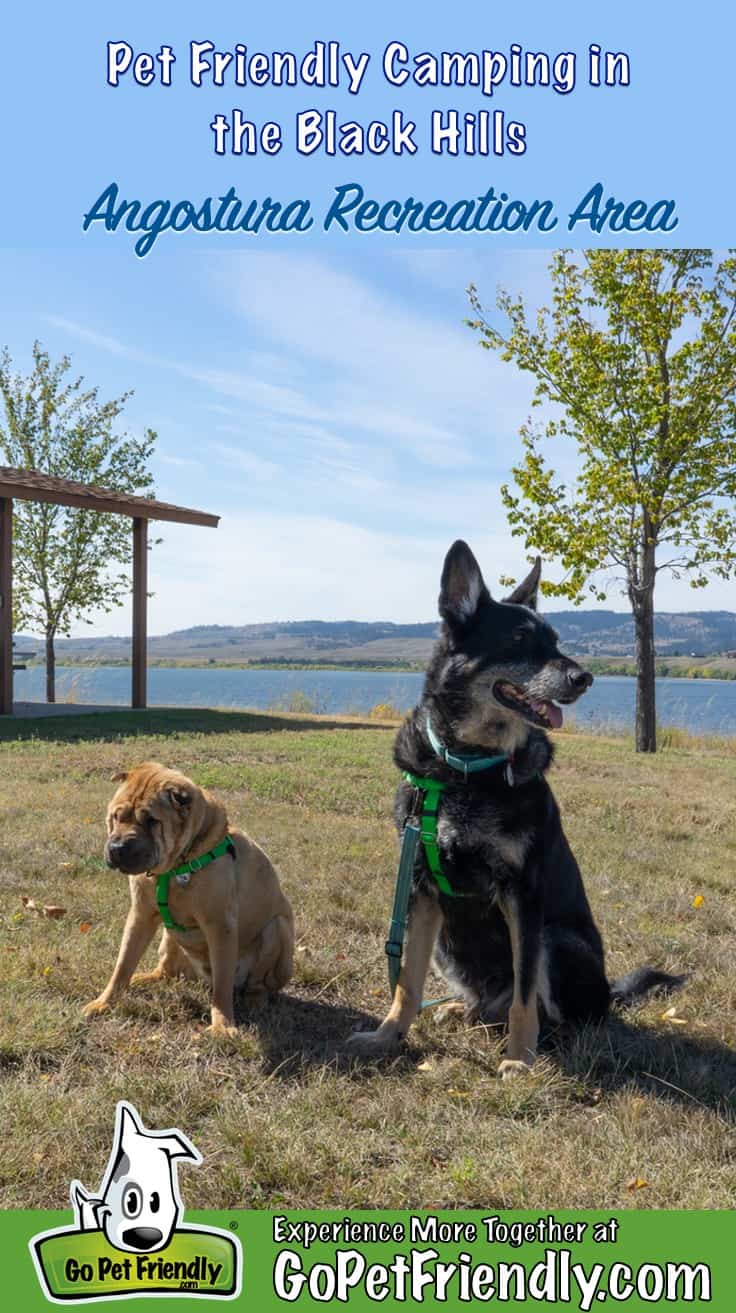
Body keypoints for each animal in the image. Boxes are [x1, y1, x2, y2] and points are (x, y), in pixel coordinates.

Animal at [83, 761, 292, 1034]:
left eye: (152, 821)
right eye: (117, 816)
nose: (117, 848)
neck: (173, 868)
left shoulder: (220, 925)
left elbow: (222, 985)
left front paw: (222, 1026)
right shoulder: (141, 915)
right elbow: (123, 963)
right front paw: (104, 1002)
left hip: (278, 930)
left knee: (258, 981)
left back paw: (254, 997)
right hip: (168, 938)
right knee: (167, 969)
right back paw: (146, 977)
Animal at [346, 538, 682, 1071]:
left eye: (555, 640)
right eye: (521, 639)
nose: (585, 677)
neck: (467, 766)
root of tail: (609, 993)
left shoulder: (523, 896)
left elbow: (526, 997)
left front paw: (520, 1060)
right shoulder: (419, 891)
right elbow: (406, 984)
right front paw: (387, 1036)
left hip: (556, 939)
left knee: (561, 1015)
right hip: (447, 942)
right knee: (484, 1005)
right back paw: (459, 1011)